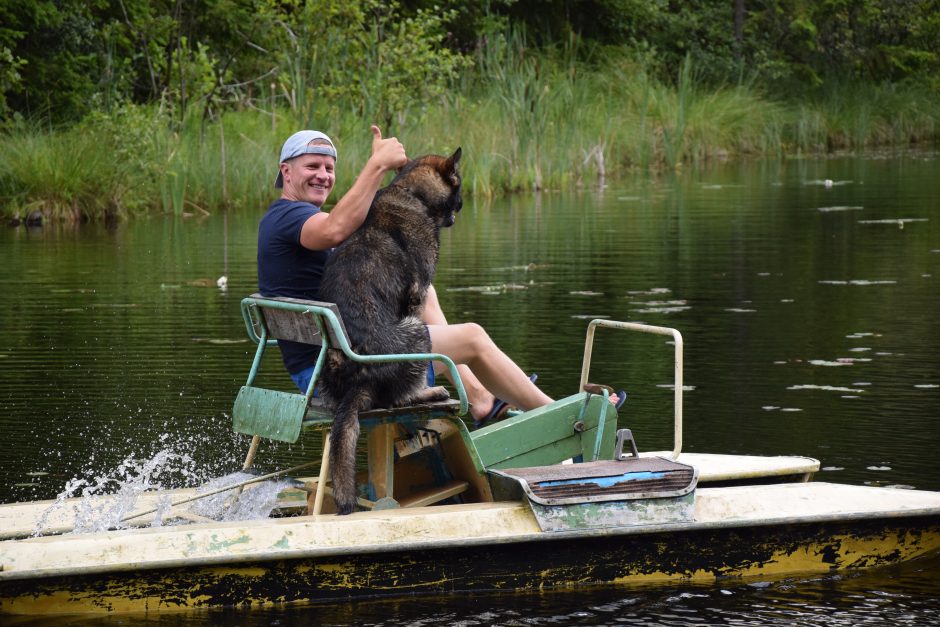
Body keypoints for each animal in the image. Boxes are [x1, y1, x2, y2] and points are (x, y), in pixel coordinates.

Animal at [320, 147, 462, 516]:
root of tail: (359, 379)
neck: (410, 192)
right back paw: (428, 393)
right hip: (417, 331)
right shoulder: (418, 297)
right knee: (402, 396)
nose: (458, 211)